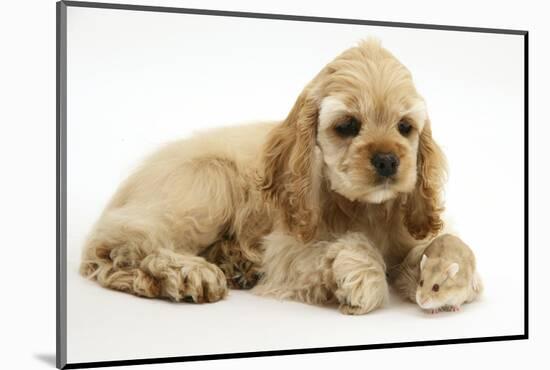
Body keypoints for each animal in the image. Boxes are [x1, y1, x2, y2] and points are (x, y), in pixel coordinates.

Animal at [78, 39, 448, 314]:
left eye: (405, 127)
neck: (366, 208)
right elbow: (346, 246)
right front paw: (363, 277)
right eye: (347, 126)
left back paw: (233, 264)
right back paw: (187, 273)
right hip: (209, 186)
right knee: (116, 241)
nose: (387, 160)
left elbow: (432, 246)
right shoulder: (286, 250)